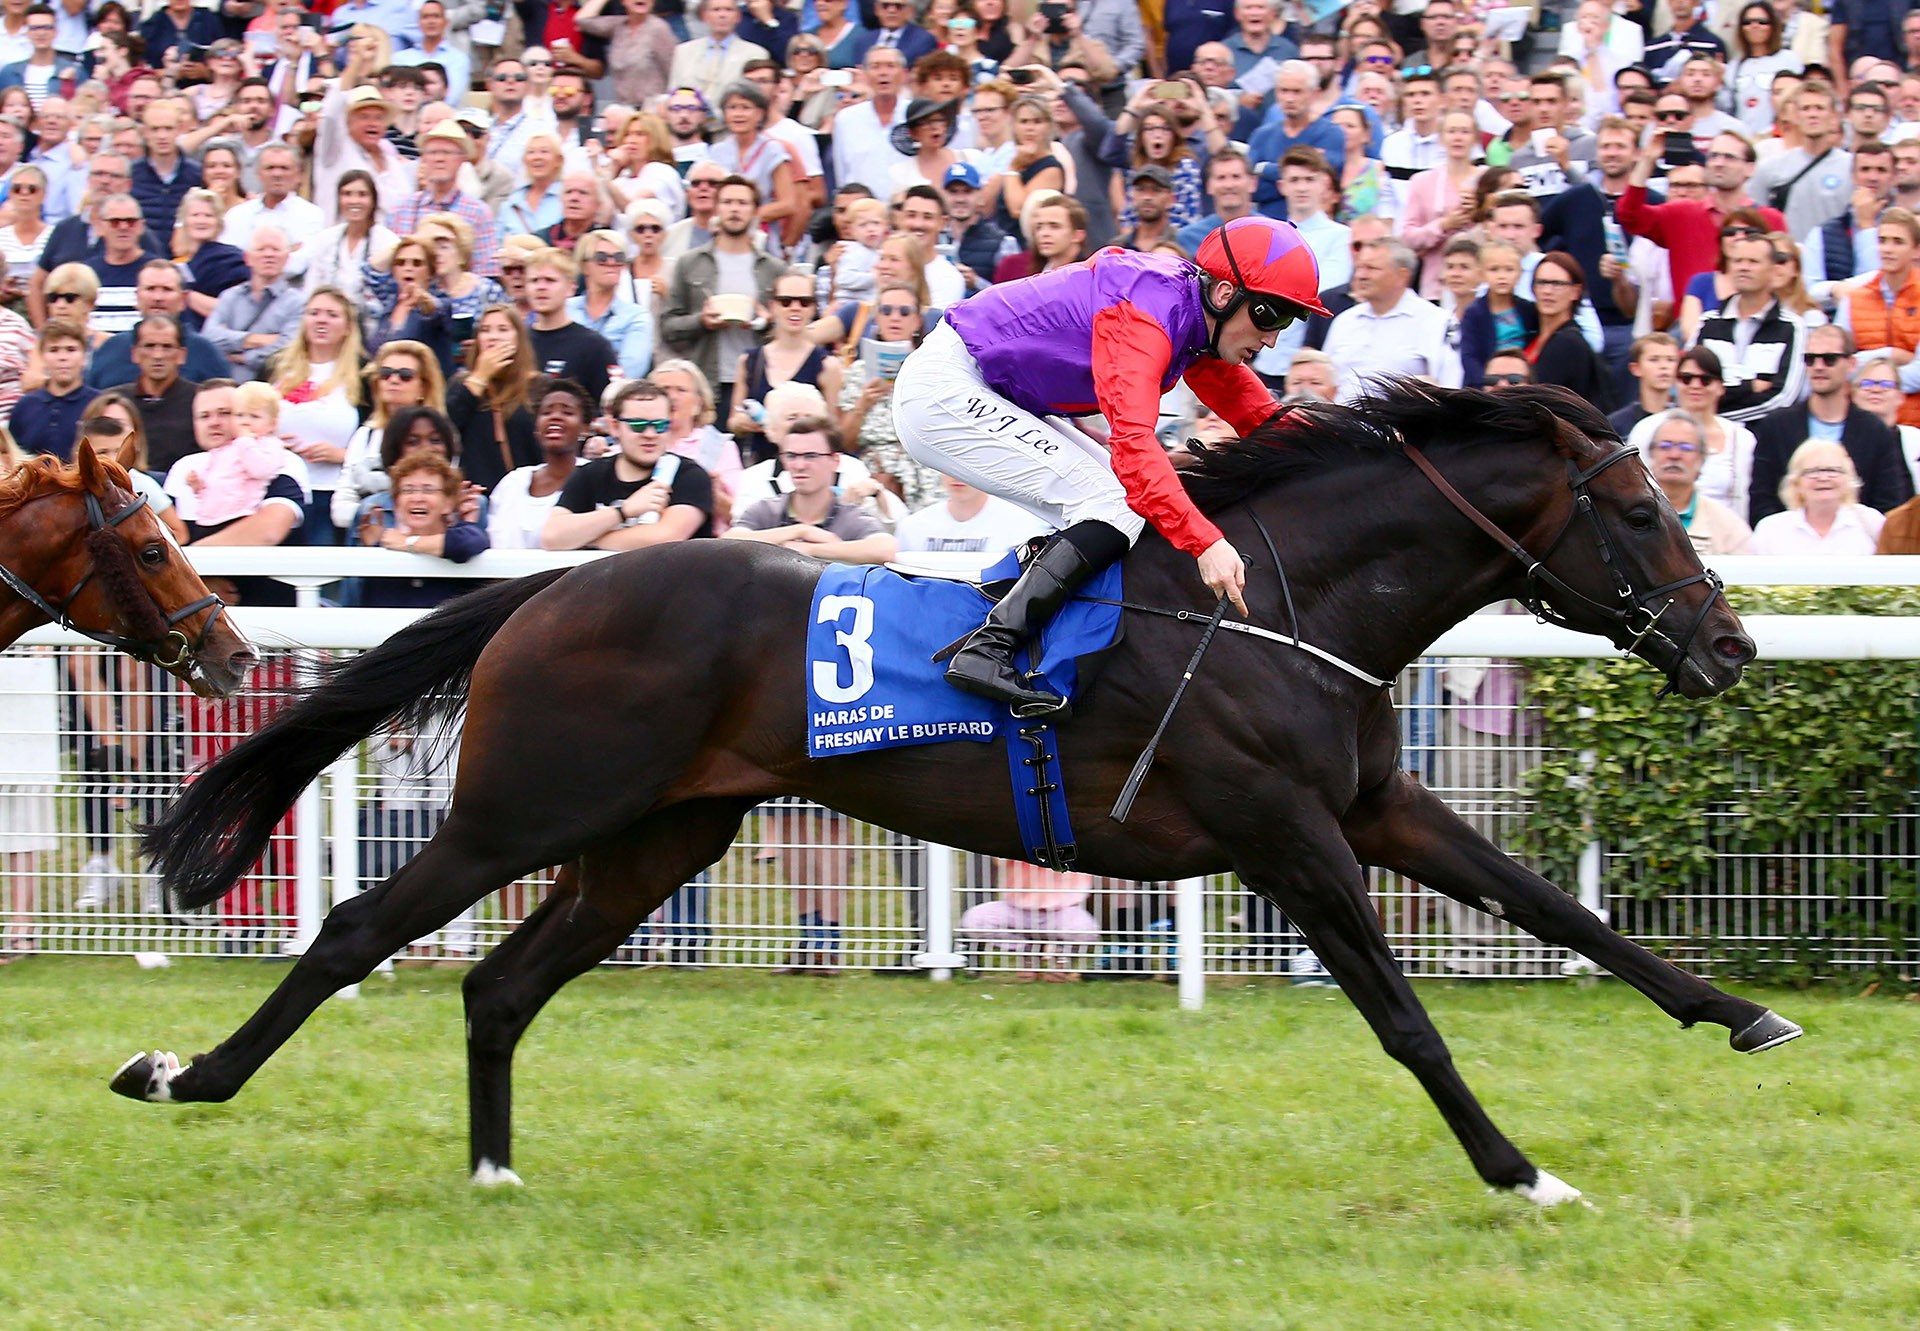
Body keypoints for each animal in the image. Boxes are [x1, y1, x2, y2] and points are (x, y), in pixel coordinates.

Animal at [127, 382, 1789, 1206]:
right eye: (1640, 509)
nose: (1732, 643)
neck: (1285, 602)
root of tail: (547, 586)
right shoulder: (1285, 829)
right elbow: (1404, 1016)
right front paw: (1520, 1169)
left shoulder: (1375, 807)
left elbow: (1558, 906)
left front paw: (1739, 1012)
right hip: (525, 810)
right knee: (357, 927)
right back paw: (184, 1075)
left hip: (656, 836)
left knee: (502, 985)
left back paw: (492, 1165)